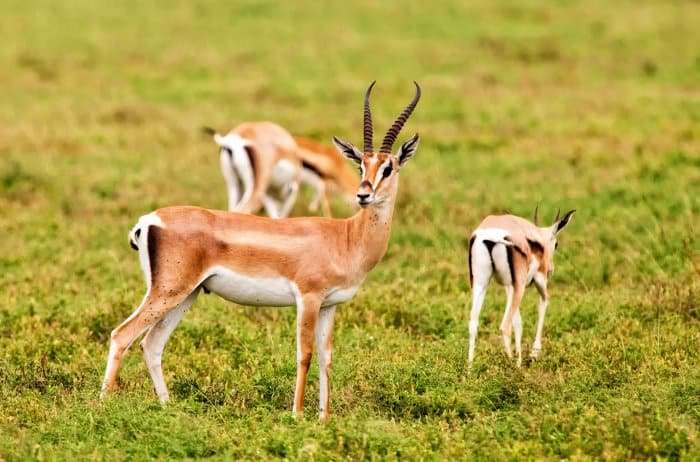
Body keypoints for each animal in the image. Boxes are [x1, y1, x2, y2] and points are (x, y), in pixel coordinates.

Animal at [101, 81, 422, 421]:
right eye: (362, 164)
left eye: (388, 167)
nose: (363, 195)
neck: (345, 237)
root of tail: (148, 220)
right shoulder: (308, 298)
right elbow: (305, 354)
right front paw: (297, 415)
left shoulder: (330, 305)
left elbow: (326, 357)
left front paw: (324, 418)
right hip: (168, 292)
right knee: (122, 335)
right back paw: (103, 404)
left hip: (186, 295)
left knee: (151, 344)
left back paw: (167, 407)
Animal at [467, 208, 575, 368]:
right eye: (556, 244)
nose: (551, 269)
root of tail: (491, 235)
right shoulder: (538, 280)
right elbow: (543, 303)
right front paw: (533, 354)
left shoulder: (509, 286)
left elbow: (518, 322)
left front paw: (521, 358)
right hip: (520, 286)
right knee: (505, 326)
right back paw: (513, 365)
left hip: (481, 283)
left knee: (473, 323)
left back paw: (469, 368)